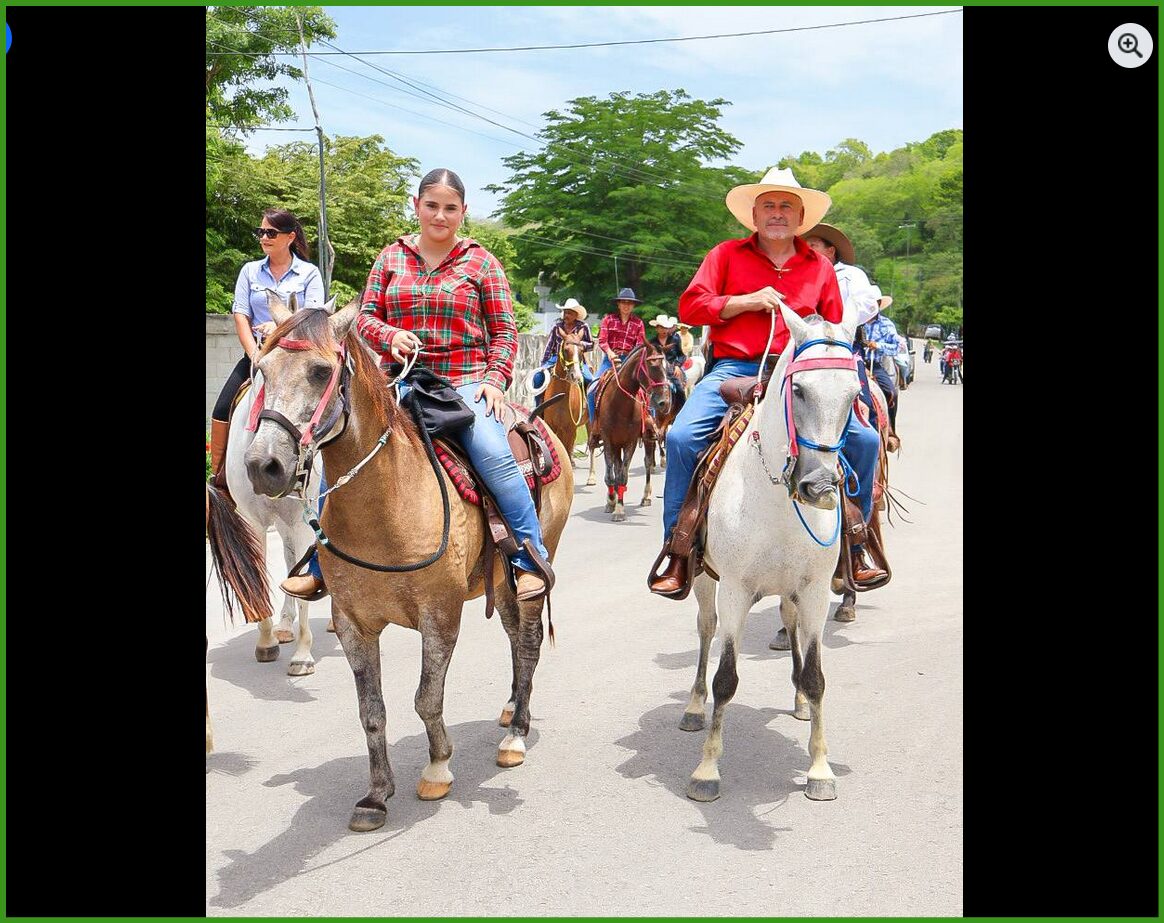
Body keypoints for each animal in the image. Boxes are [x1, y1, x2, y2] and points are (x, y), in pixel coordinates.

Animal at [224, 290, 329, 676]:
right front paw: (268, 639)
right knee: (287, 561)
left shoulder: (302, 521)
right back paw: (283, 626)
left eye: (322, 372)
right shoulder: (253, 521)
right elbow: (262, 575)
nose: (264, 465)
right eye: (264, 371)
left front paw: (302, 654)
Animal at [243, 303, 574, 832]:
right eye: (262, 370)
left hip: (534, 571)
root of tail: (536, 422)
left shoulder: (439, 616)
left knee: (528, 642)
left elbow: (426, 697)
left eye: (320, 371)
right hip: (500, 583)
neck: (386, 502)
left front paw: (438, 768)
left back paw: (516, 735)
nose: (263, 465)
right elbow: (371, 710)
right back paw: (509, 708)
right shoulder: (352, 624)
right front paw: (376, 795)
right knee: (514, 639)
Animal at [540, 337, 597, 486]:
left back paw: (591, 477)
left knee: (591, 445)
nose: (576, 376)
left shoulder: (570, 428)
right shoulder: (552, 426)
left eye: (582, 351)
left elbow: (567, 448)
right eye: (565, 350)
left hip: (589, 422)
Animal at [588, 342, 671, 521]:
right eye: (652, 365)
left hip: (647, 438)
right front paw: (611, 501)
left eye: (667, 367)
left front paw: (619, 509)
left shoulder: (630, 442)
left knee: (647, 463)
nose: (664, 402)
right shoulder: (609, 441)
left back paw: (646, 496)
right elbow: (611, 474)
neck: (619, 402)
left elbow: (623, 475)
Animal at [678, 303, 861, 804]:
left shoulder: (815, 591)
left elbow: (817, 676)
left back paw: (797, 700)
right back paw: (694, 707)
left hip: (790, 592)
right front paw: (706, 770)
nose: (819, 486)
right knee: (705, 632)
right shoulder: (735, 591)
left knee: (790, 623)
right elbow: (725, 678)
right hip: (704, 582)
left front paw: (819, 769)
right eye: (798, 390)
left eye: (855, 393)